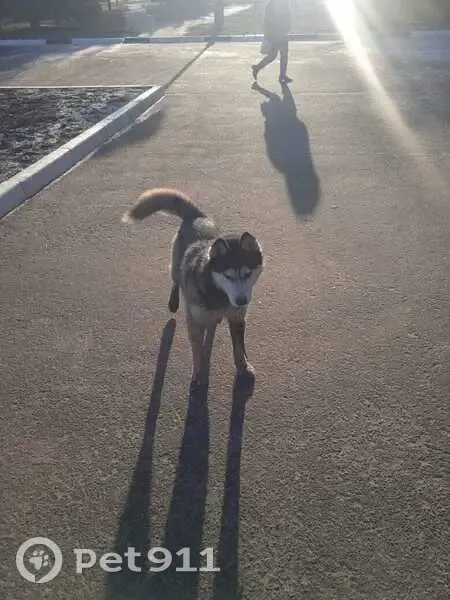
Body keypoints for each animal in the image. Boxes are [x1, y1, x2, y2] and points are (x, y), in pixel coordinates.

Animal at [122, 188, 263, 385]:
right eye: (227, 276)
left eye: (248, 273)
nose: (241, 300)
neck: (219, 294)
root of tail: (197, 216)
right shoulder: (195, 321)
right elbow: (197, 349)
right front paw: (198, 373)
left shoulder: (237, 318)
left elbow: (238, 347)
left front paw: (243, 367)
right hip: (176, 266)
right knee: (176, 278)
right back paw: (174, 301)